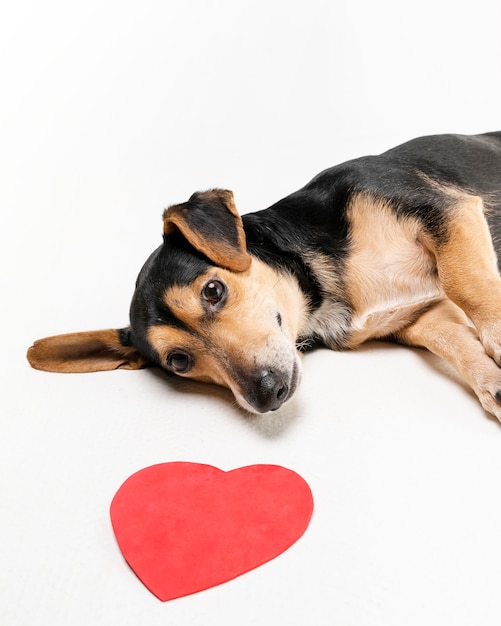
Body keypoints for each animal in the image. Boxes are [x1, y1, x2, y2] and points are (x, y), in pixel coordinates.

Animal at [26, 130, 500, 414]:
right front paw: (494, 385)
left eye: (213, 291)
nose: (267, 395)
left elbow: (468, 284)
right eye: (179, 361)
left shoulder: (448, 213)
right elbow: (462, 348)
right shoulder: (423, 317)